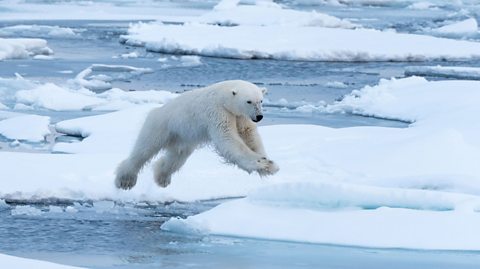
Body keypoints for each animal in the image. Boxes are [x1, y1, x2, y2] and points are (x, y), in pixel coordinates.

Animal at [115, 79, 278, 188]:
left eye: (261, 101)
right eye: (249, 101)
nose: (259, 116)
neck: (223, 97)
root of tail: (155, 111)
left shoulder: (241, 117)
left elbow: (250, 136)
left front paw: (269, 164)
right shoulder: (218, 112)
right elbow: (228, 139)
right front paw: (261, 163)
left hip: (183, 138)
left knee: (176, 158)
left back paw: (162, 178)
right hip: (160, 127)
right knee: (144, 150)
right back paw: (125, 180)